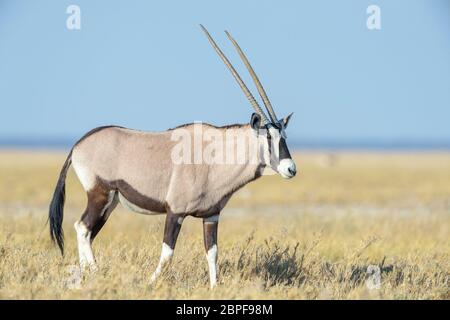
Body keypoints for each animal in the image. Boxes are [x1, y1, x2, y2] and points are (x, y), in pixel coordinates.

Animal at [48, 25, 298, 288]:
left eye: (284, 136)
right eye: (268, 136)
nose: (290, 168)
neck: (214, 157)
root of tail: (78, 144)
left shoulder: (211, 215)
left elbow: (212, 252)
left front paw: (214, 287)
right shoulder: (175, 212)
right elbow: (167, 252)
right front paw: (150, 283)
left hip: (110, 202)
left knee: (87, 232)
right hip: (99, 193)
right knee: (82, 227)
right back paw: (94, 273)